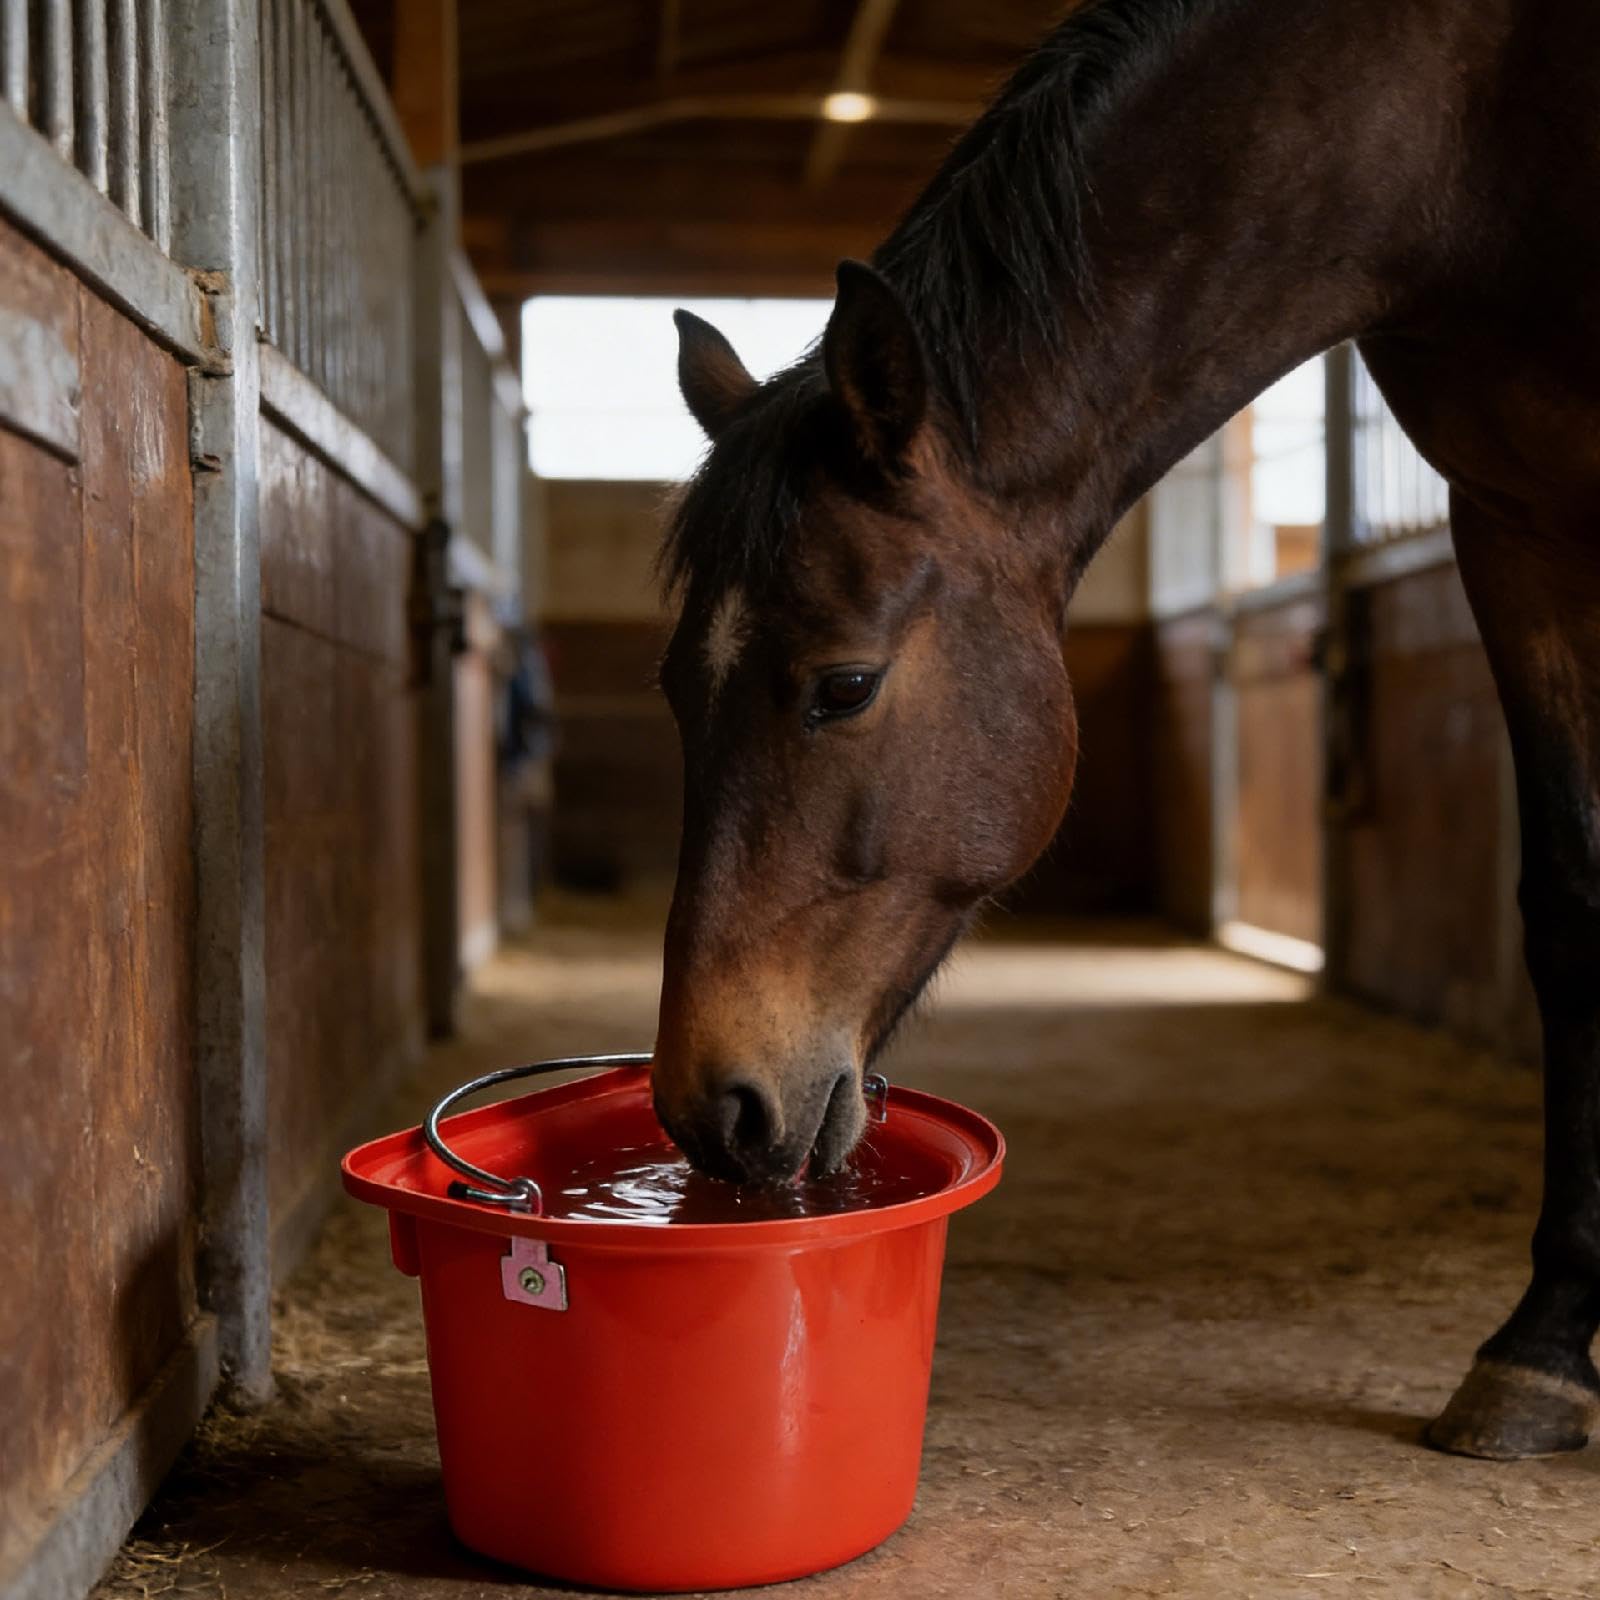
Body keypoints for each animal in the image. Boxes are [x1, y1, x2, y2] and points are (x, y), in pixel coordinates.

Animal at [647, 0, 1600, 1465]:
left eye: (844, 686)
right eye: (672, 687)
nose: (712, 1108)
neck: (1468, 116)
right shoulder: (1514, 527)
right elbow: (1570, 910)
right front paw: (1546, 1346)